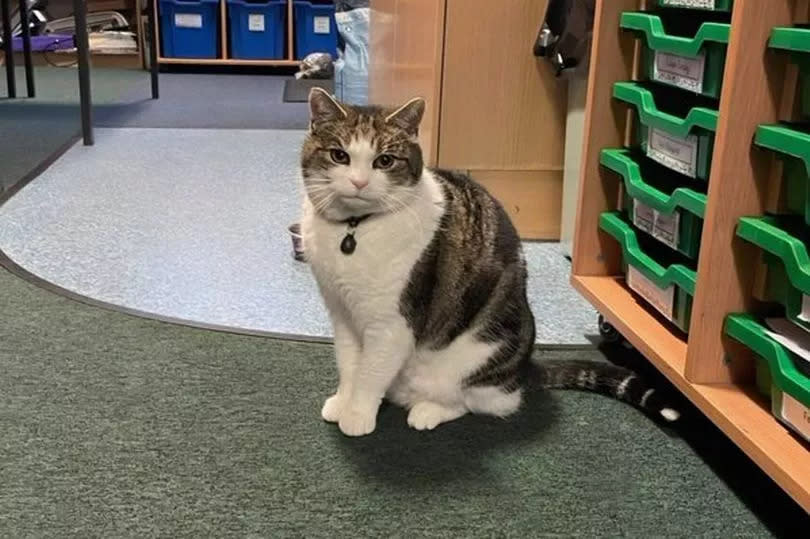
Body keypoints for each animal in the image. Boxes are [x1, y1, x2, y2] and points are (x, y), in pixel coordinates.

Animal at [296, 86, 676, 436]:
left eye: (385, 161)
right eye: (339, 155)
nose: (359, 182)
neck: (354, 229)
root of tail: (524, 369)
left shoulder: (392, 324)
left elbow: (371, 373)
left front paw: (358, 415)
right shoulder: (342, 312)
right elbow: (350, 365)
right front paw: (342, 402)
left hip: (478, 356)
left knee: (483, 403)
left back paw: (427, 411)